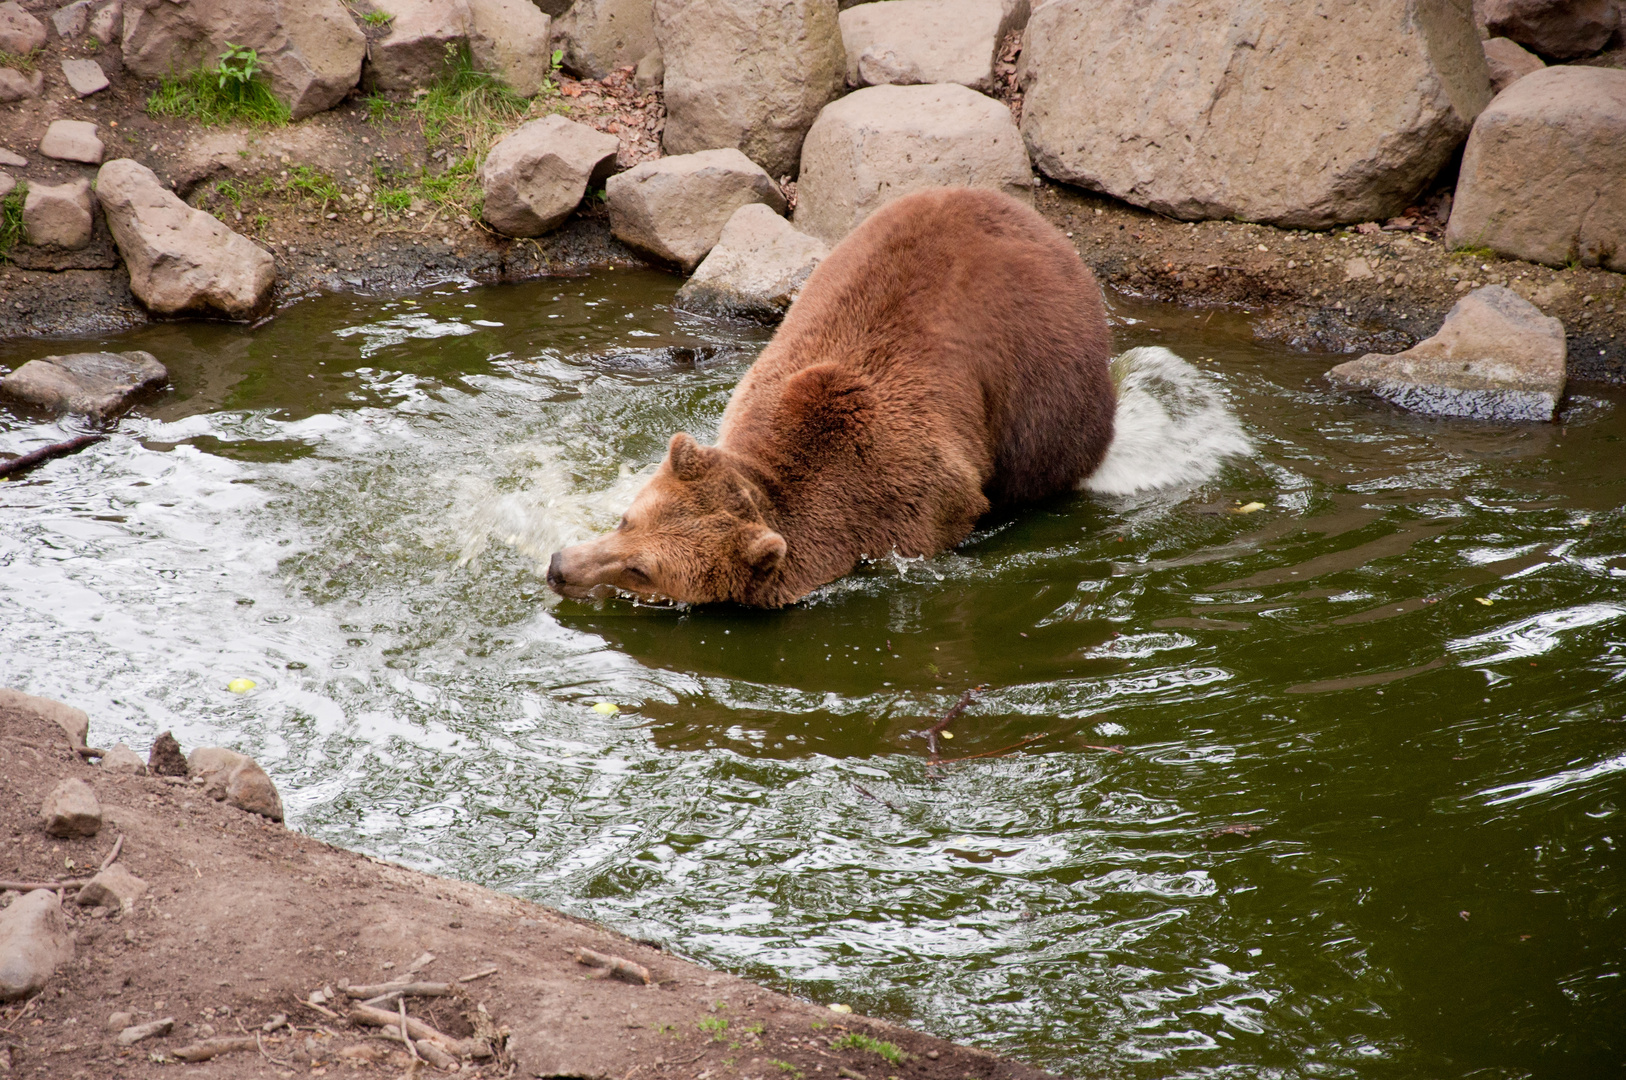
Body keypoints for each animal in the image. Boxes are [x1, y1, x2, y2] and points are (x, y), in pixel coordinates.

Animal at [539, 185, 1112, 608]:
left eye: (642, 570)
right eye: (627, 519)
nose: (559, 566)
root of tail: (1025, 213)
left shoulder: (918, 506)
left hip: (1046, 376)